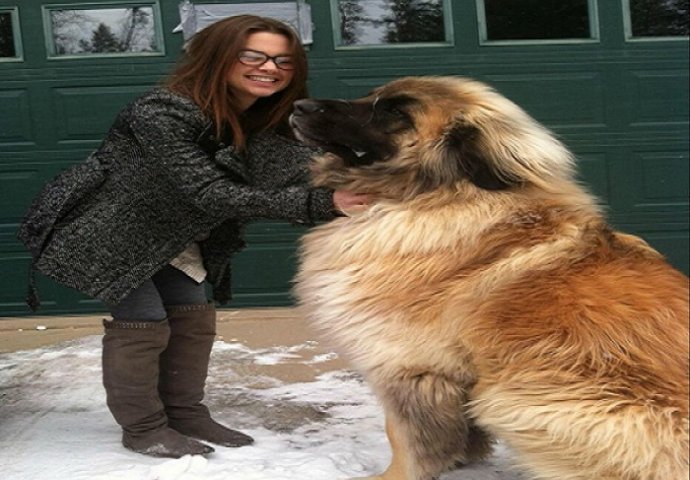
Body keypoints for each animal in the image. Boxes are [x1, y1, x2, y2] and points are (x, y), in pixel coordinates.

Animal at [288, 77, 684, 478]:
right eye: (369, 96)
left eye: (394, 112)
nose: (299, 106)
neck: (438, 195)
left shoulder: (408, 367)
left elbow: (403, 437)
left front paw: (394, 474)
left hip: (512, 397)